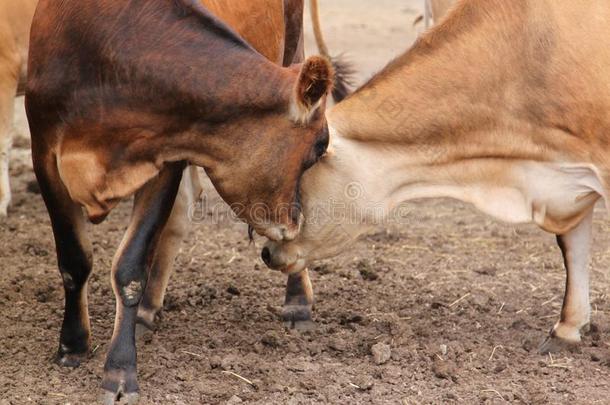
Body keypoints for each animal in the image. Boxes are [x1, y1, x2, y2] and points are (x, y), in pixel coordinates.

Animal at [25, 0, 332, 400]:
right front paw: (73, 346)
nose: (294, 224)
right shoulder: (43, 151)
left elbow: (131, 266)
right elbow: (73, 260)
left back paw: (297, 302)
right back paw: (146, 313)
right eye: (319, 146)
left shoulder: (166, 157)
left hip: (293, 44)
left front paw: (120, 370)